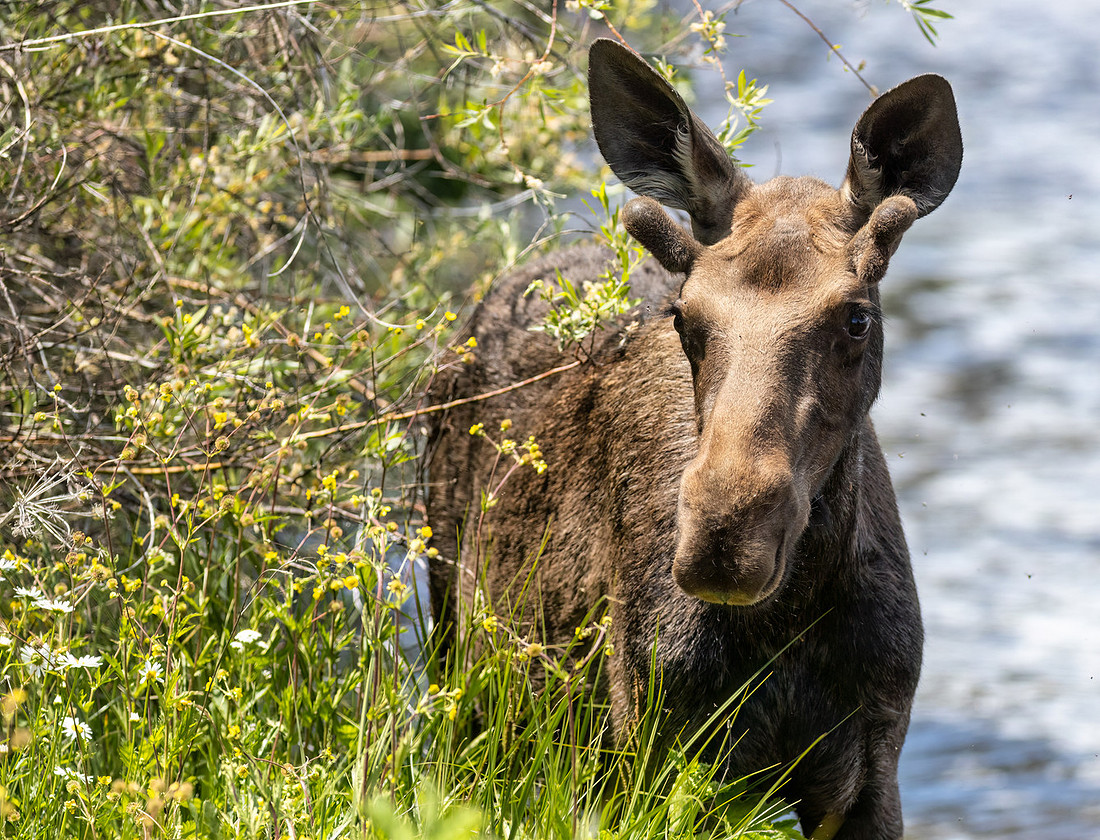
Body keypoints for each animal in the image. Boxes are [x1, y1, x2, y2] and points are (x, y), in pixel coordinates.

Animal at [427, 38, 962, 840]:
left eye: (856, 315)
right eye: (684, 315)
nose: (727, 536)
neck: (788, 621)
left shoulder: (873, 767)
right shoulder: (654, 745)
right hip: (455, 643)